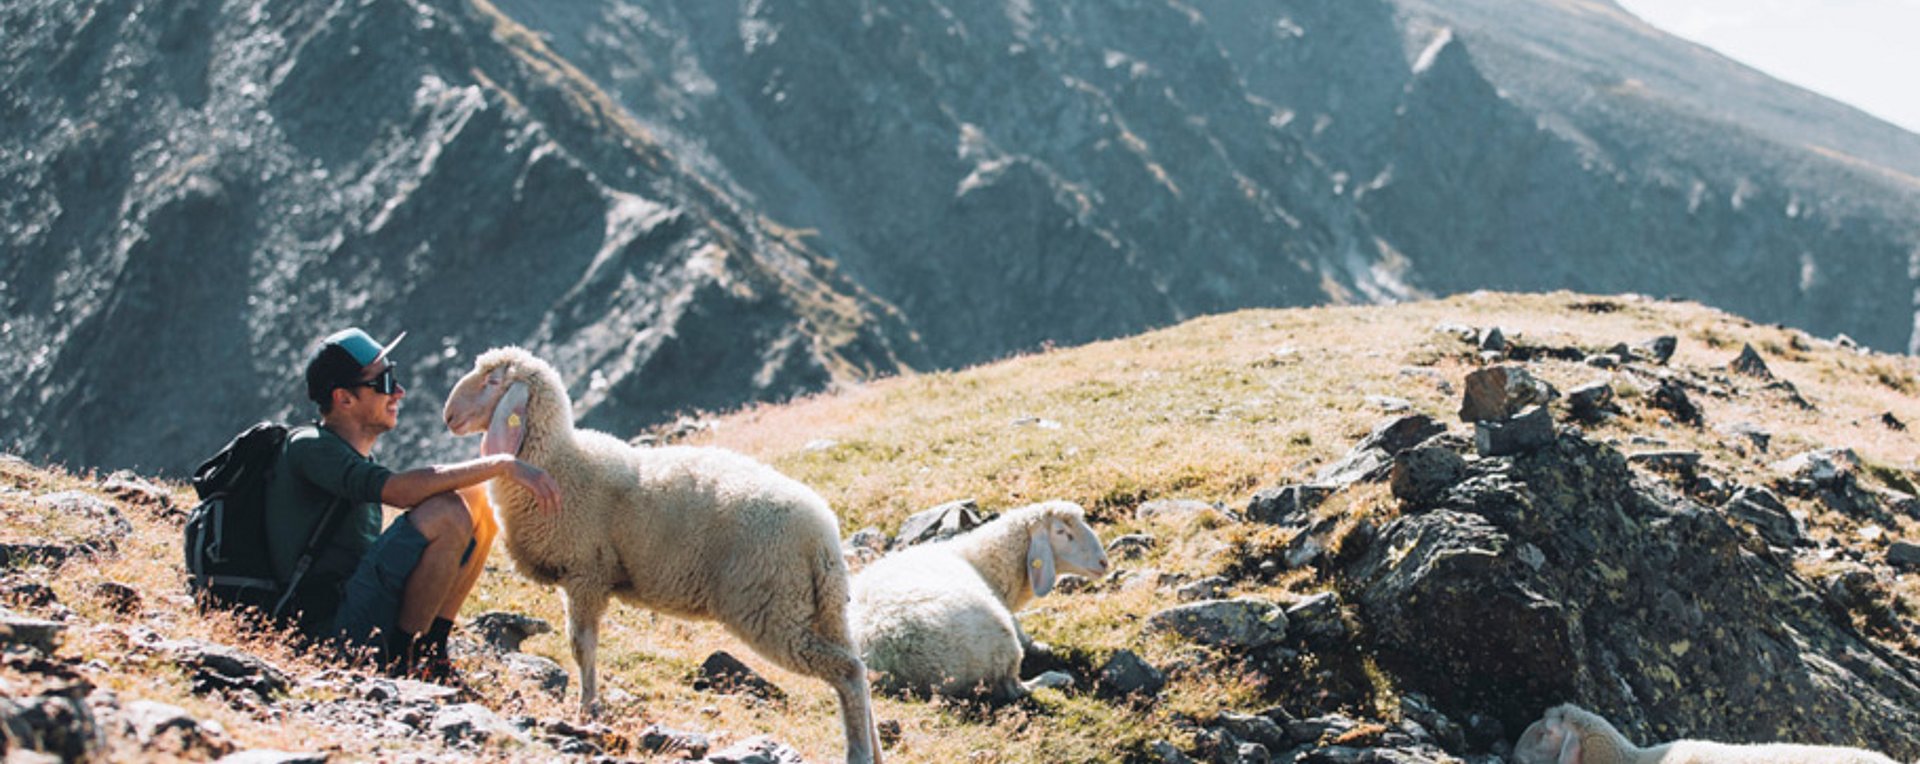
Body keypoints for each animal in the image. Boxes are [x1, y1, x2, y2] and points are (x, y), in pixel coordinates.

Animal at [439, 347, 879, 764]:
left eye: (493, 381)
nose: (448, 417)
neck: (559, 463)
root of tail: (823, 533)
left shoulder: (585, 576)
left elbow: (582, 647)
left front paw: (587, 711)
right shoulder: (583, 578)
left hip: (769, 607)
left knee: (846, 669)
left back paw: (857, 752)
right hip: (821, 607)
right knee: (857, 665)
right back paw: (874, 748)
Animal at [852, 502, 1113, 702]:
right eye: (1060, 532)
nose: (1104, 563)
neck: (981, 562)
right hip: (1001, 648)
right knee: (1015, 689)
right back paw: (1055, 678)